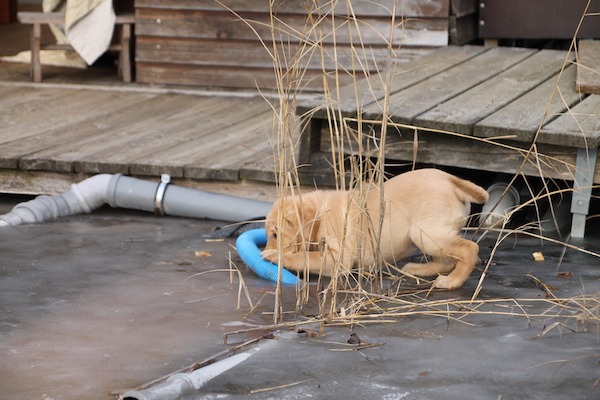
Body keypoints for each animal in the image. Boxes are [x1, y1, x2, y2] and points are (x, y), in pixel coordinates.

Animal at [261, 169, 489, 289]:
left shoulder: (338, 259)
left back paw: (452, 281)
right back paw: (417, 269)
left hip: (426, 233)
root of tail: (452, 180)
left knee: (470, 249)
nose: (265, 249)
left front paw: (275, 255)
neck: (320, 215)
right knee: (445, 260)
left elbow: (304, 256)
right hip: (426, 236)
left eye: (275, 234)